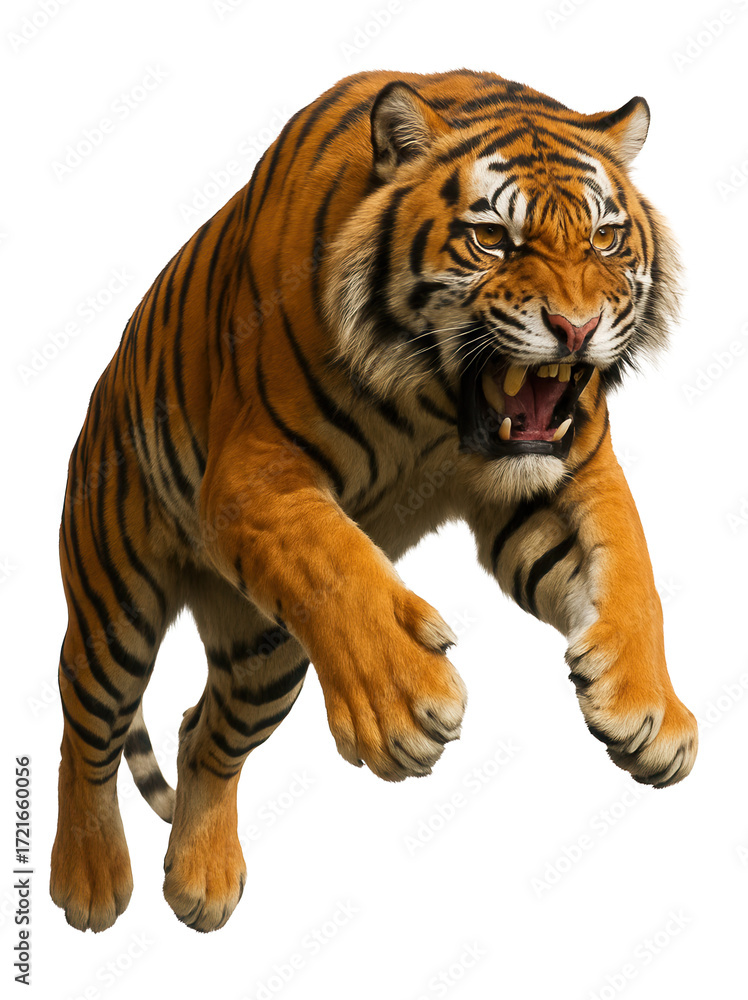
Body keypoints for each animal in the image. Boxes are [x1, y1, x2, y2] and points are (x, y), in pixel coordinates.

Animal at [50, 68, 698, 934]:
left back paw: (202, 882)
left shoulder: (564, 471)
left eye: (604, 239)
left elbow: (631, 569)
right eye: (492, 239)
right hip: (112, 606)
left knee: (204, 737)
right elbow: (337, 564)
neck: (433, 406)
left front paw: (649, 710)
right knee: (85, 729)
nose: (575, 327)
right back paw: (88, 881)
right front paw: (404, 702)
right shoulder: (252, 472)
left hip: (266, 658)